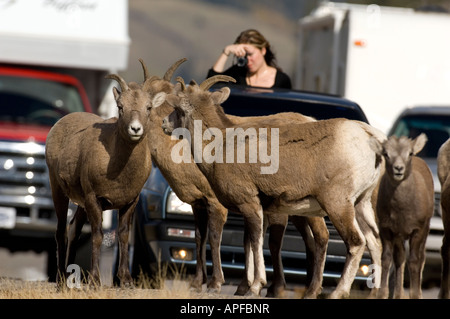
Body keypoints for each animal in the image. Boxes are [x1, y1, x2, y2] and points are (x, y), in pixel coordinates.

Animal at [45, 62, 167, 288]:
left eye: (148, 107)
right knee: (61, 231)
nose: (135, 129)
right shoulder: (94, 200)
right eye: (120, 107)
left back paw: (71, 278)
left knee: (73, 230)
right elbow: (98, 236)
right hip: (58, 190)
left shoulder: (130, 202)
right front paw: (95, 280)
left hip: (81, 203)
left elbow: (123, 236)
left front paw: (126, 280)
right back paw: (61, 281)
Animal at [142, 60, 328, 298]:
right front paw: (239, 286)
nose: (164, 123)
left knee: (321, 237)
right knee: (310, 241)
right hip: (299, 211)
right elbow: (238, 241)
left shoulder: (232, 203)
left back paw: (304, 290)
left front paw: (223, 285)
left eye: (177, 108)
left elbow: (230, 239)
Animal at [160, 75, 384, 300]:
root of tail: (370, 136)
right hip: (361, 205)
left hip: (338, 205)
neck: (220, 147)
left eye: (177, 109)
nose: (164, 123)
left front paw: (254, 288)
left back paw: (336, 292)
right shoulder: (262, 210)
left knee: (356, 243)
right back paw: (374, 294)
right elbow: (251, 243)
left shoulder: (249, 203)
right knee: (375, 244)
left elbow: (256, 242)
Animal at [370, 135, 434, 300]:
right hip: (399, 236)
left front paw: (415, 294)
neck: (401, 210)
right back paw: (398, 294)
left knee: (421, 258)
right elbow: (386, 258)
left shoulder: (418, 230)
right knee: (399, 257)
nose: (398, 169)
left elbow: (414, 260)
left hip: (424, 230)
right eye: (386, 154)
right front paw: (382, 294)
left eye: (409, 153)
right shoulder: (386, 229)